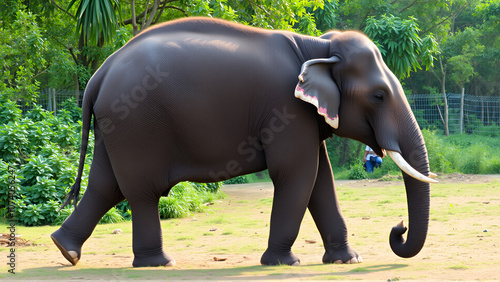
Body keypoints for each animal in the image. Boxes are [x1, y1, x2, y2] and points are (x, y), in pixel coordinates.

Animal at [48, 16, 436, 268]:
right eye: (379, 96)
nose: (398, 228)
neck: (316, 44)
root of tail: (100, 73)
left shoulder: (302, 117)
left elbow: (320, 179)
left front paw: (346, 260)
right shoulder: (286, 109)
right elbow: (297, 174)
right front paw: (283, 262)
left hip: (115, 126)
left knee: (105, 185)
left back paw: (67, 252)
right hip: (136, 124)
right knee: (141, 191)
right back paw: (158, 263)